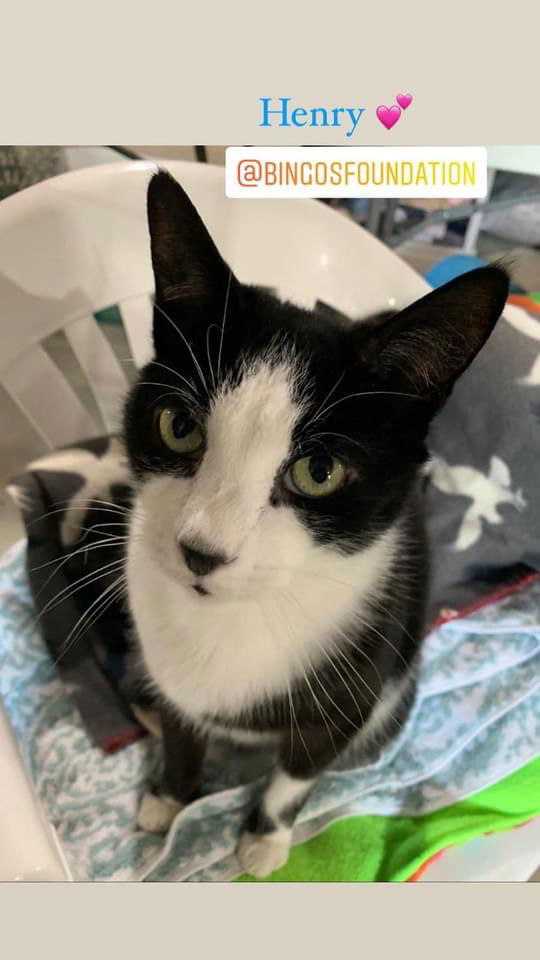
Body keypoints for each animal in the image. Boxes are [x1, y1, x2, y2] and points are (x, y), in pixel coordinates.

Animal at [124, 172, 508, 876]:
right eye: (179, 426)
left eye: (319, 471)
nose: (201, 552)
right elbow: (182, 728)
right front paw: (169, 794)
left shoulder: (354, 685)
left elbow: (300, 768)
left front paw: (264, 838)